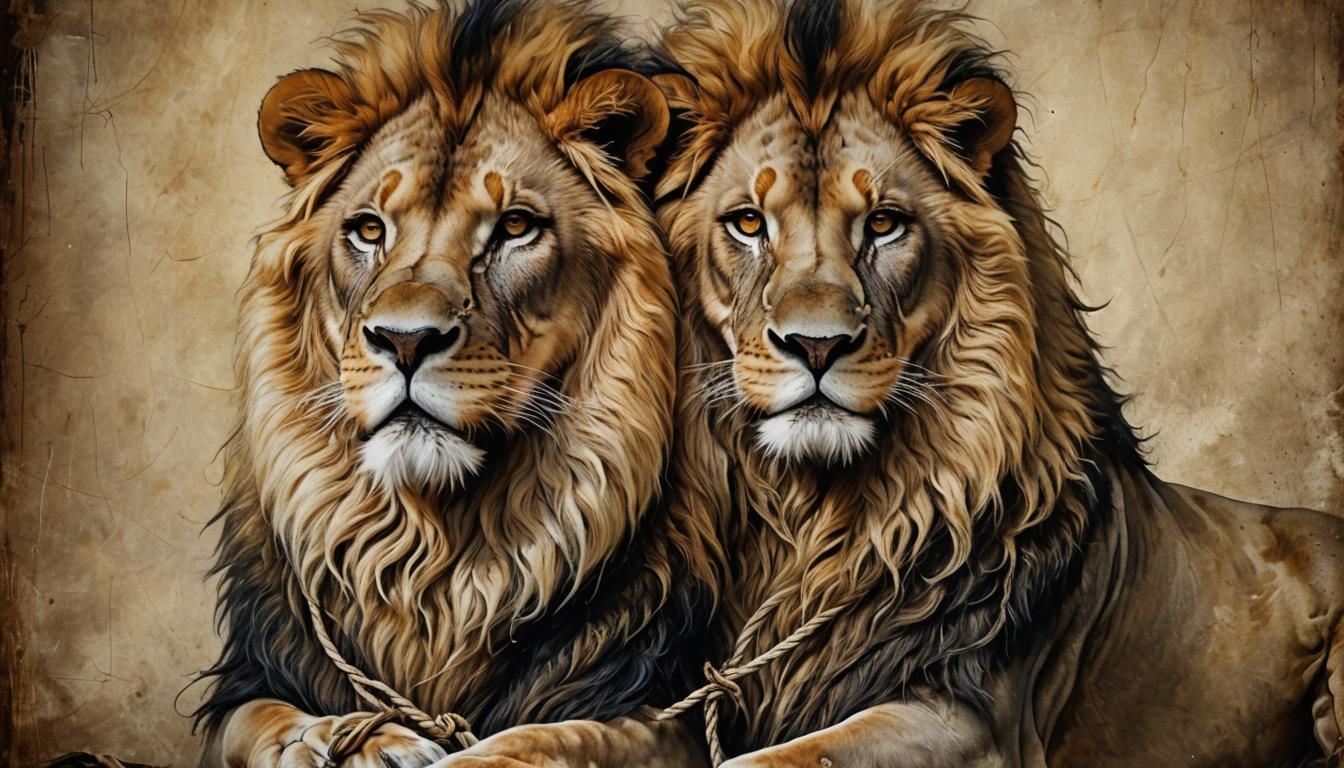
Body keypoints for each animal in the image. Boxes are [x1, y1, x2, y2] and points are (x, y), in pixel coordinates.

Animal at [192, 2, 720, 767]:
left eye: (516, 226)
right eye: (369, 229)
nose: (405, 340)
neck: (439, 560)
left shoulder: (654, 703)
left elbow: (542, 738)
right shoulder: (254, 678)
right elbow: (266, 721)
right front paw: (357, 739)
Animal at [633, 0, 1343, 766]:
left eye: (884, 224)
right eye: (747, 223)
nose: (815, 345)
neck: (811, 523)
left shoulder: (974, 721)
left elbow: (785, 756)